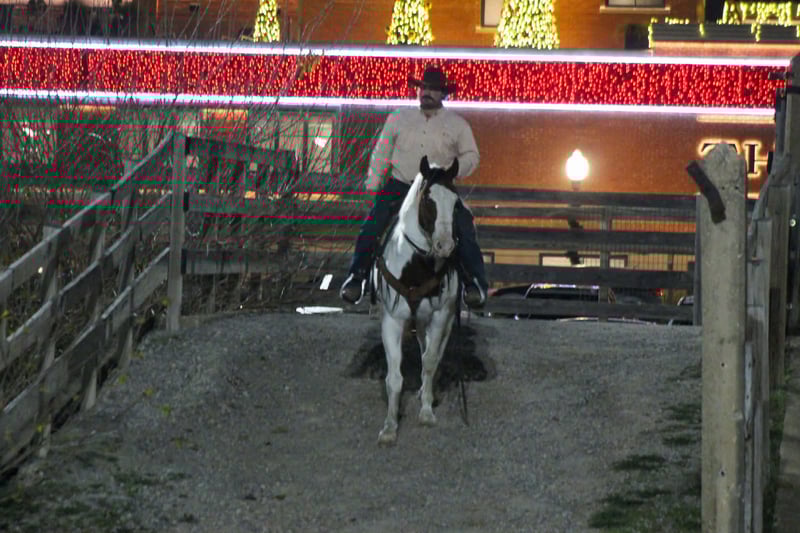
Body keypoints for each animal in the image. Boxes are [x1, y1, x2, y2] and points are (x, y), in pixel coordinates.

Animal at [372, 155, 461, 445]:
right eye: (428, 201)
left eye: (455, 203)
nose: (445, 246)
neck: (416, 266)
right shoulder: (391, 320)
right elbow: (394, 377)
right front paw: (389, 427)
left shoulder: (440, 316)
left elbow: (430, 363)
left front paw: (426, 412)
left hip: (442, 319)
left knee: (432, 354)